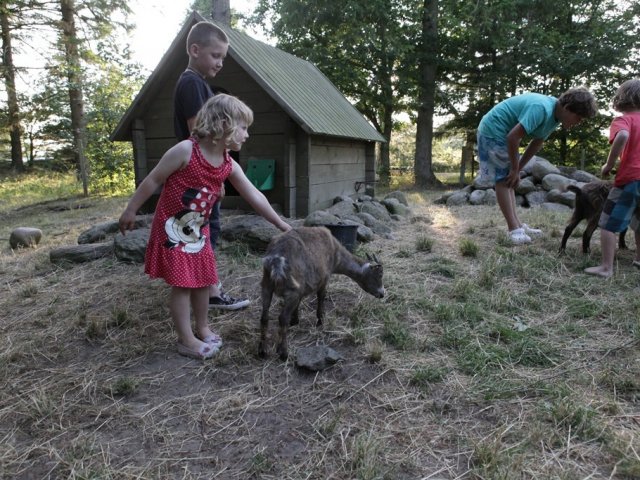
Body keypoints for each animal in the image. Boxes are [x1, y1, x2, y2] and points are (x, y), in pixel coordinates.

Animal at [258, 226, 385, 360]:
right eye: (380, 274)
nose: (382, 294)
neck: (335, 254)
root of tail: (276, 260)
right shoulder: (324, 278)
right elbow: (321, 296)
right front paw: (320, 320)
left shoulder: (302, 287)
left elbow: (299, 302)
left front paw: (295, 320)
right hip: (291, 290)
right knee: (282, 318)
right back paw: (283, 352)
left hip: (266, 286)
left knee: (264, 317)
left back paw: (262, 350)